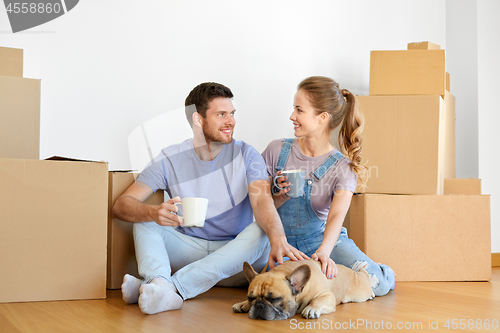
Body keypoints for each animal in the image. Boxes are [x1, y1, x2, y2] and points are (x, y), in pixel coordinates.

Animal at [232, 260, 374, 320]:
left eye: (275, 299)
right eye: (250, 298)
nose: (259, 305)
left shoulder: (327, 295)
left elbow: (317, 301)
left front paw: (311, 309)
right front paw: (242, 304)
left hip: (360, 292)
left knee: (365, 276)